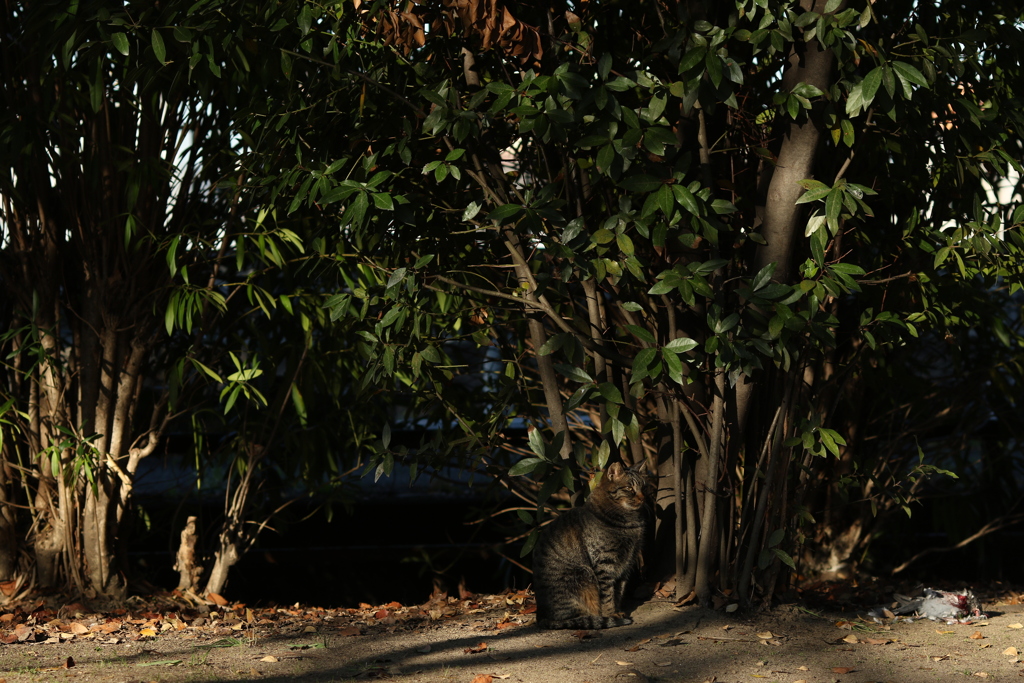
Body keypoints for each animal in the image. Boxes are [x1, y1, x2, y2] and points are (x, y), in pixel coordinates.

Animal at [532, 462, 643, 634]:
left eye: (643, 487)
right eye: (629, 488)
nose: (643, 498)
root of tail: (540, 616)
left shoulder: (626, 564)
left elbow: (618, 591)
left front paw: (617, 611)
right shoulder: (605, 563)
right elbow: (607, 595)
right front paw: (611, 614)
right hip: (583, 575)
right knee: (576, 618)